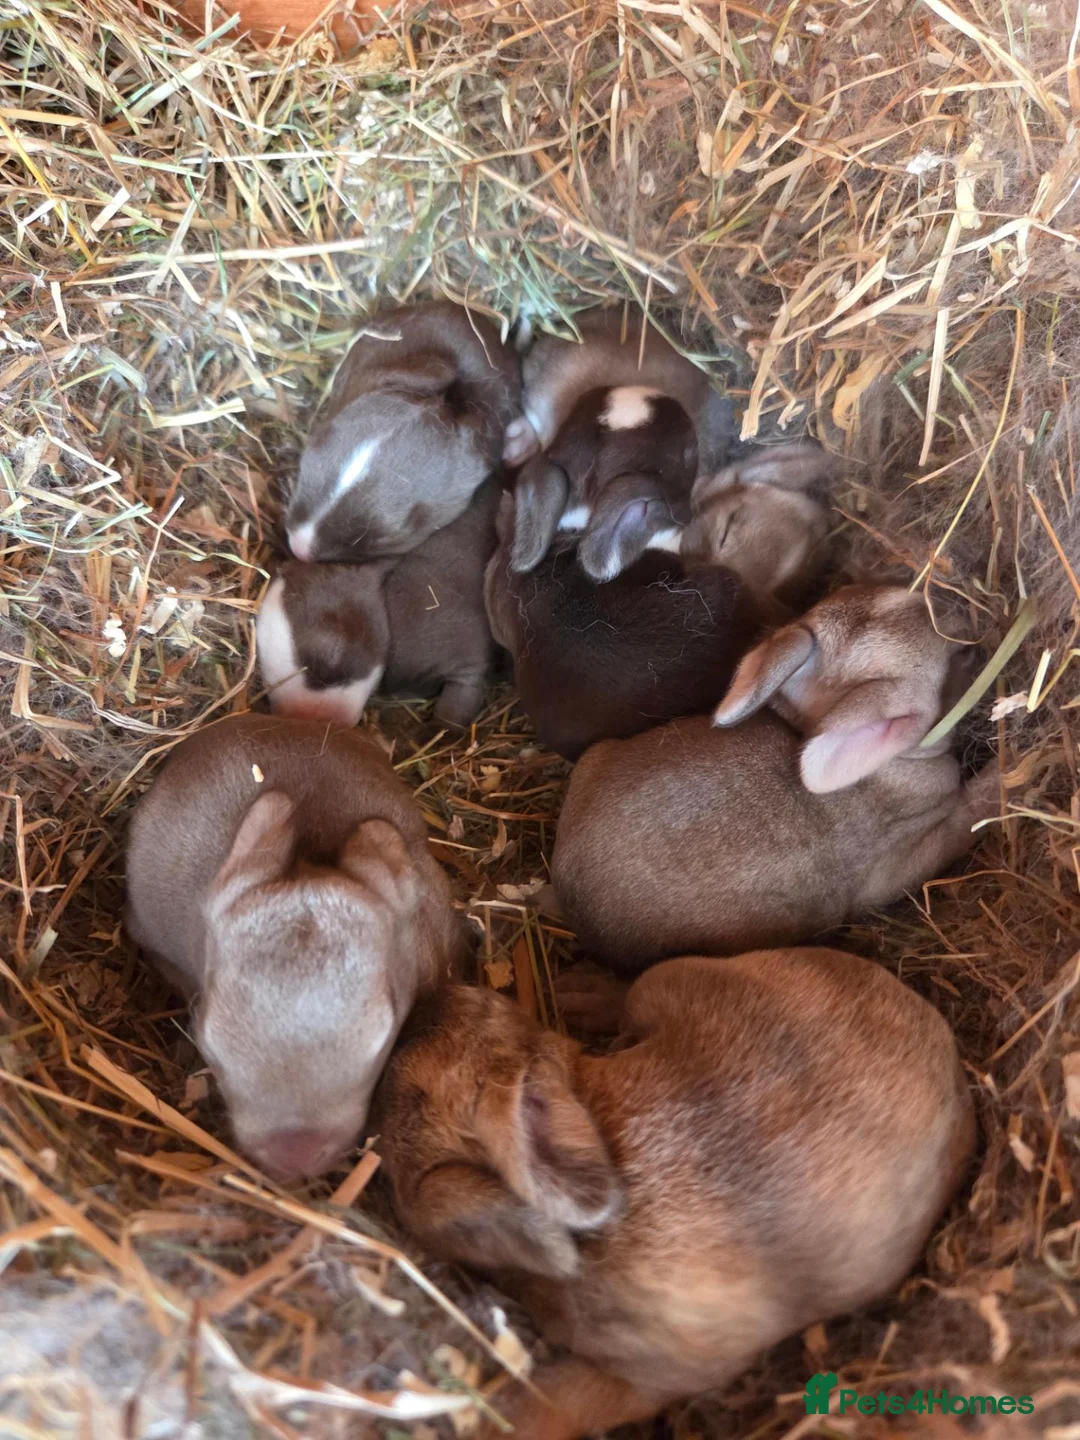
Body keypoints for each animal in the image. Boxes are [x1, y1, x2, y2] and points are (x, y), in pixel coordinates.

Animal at [374, 946, 975, 1440]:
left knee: (634, 990)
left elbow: (547, 1404)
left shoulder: (649, 1378)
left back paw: (581, 990)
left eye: (415, 1092)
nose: (428, 1003)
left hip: (673, 978)